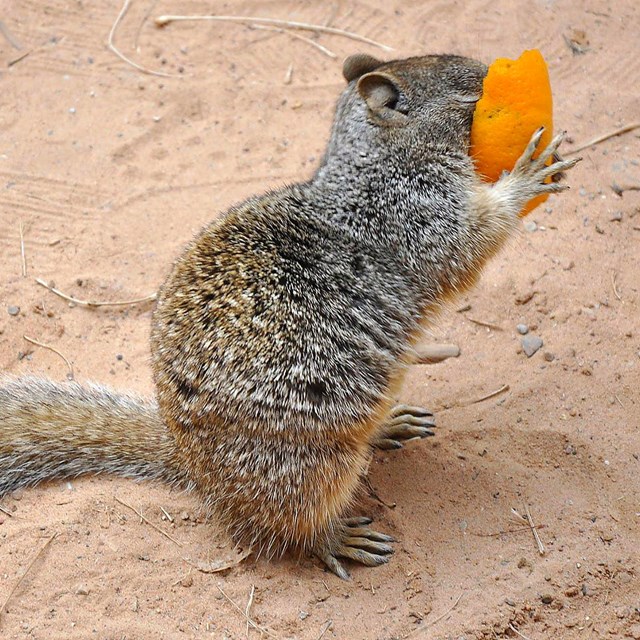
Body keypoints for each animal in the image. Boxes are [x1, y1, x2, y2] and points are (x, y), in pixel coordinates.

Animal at [0, 52, 580, 576]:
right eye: (472, 87)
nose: (497, 68)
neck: (374, 162)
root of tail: (196, 470)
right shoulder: (417, 214)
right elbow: (471, 239)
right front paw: (528, 176)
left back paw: (389, 423)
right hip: (313, 465)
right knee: (292, 525)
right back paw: (335, 538)